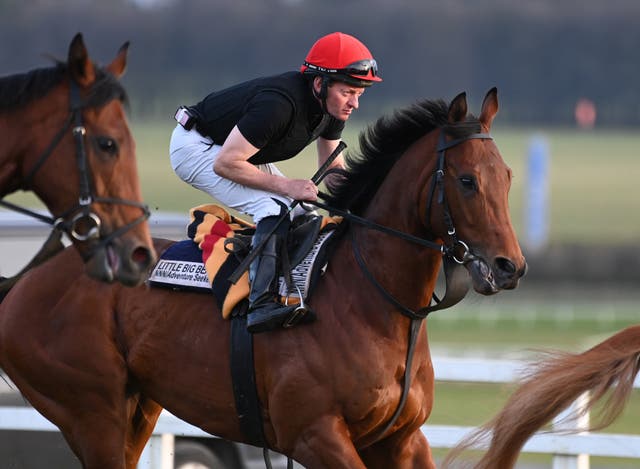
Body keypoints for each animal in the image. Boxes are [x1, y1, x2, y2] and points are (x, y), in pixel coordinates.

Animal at [0, 88, 524, 468]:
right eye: (467, 181)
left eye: (507, 176)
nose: (510, 266)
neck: (373, 303)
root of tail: (24, 281)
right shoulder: (315, 434)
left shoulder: (402, 439)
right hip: (92, 412)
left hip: (139, 408)